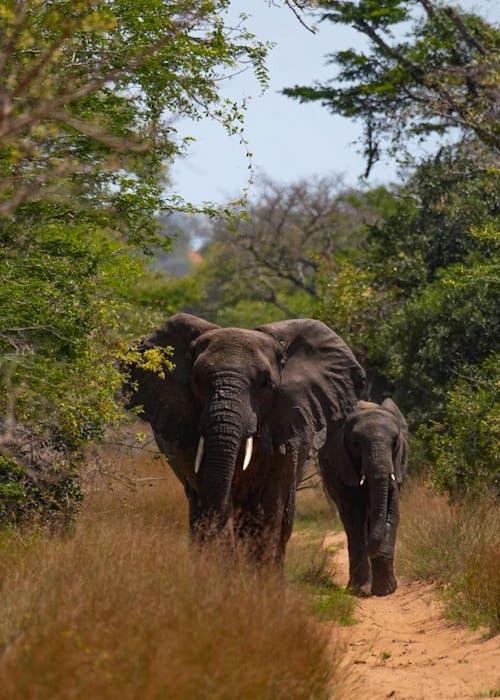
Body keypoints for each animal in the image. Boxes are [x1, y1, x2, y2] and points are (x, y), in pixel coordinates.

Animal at [125, 312, 365, 564]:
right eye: (197, 380)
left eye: (265, 383)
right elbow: (208, 489)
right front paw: (218, 565)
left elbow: (271, 501)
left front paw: (256, 572)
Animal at [318, 398, 408, 595]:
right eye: (356, 443)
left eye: (395, 442)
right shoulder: (342, 464)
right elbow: (354, 516)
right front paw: (361, 589)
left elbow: (392, 511)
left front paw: (386, 590)